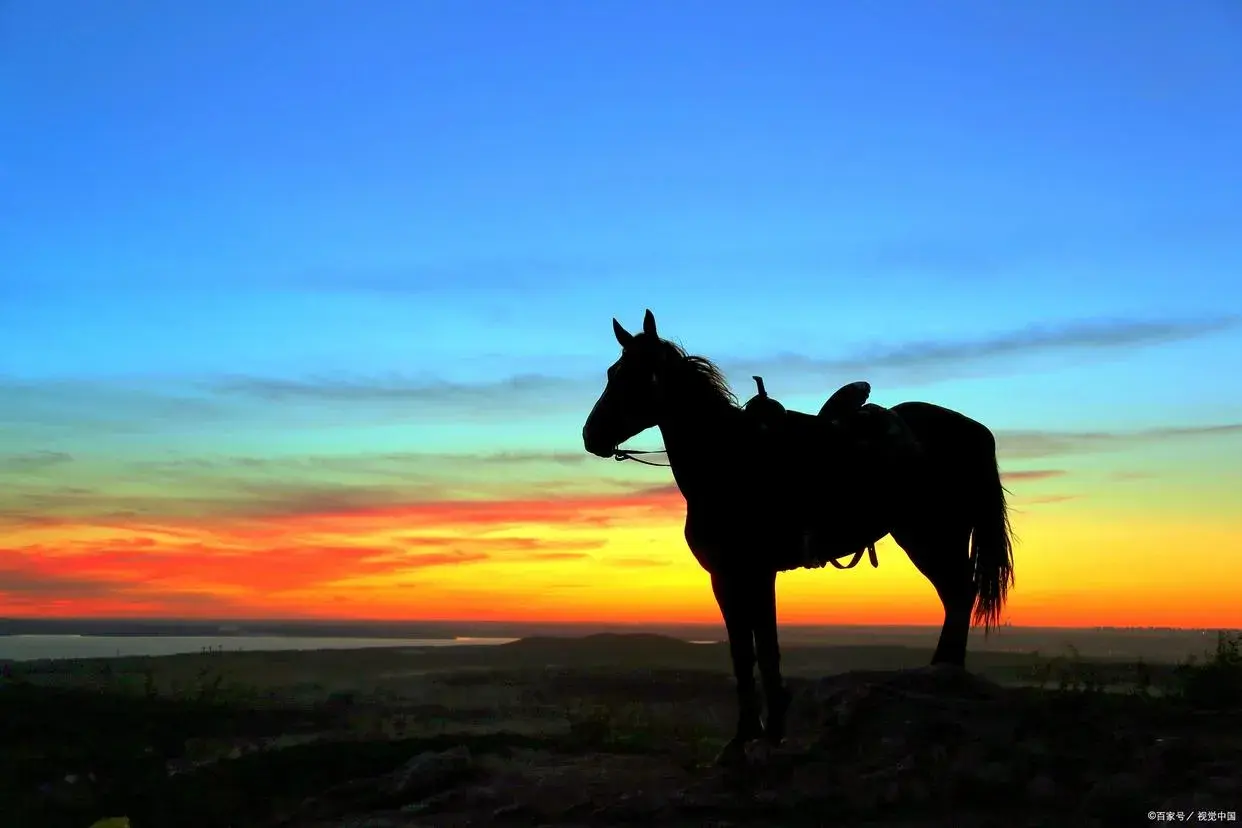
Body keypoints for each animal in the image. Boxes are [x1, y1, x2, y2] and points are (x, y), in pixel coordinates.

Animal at [576, 309, 1013, 764]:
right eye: (612, 372)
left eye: (633, 376)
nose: (591, 435)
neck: (727, 461)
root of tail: (974, 431)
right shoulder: (734, 575)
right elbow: (751, 650)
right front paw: (755, 734)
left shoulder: (749, 572)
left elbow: (758, 650)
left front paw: (758, 736)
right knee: (956, 598)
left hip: (933, 537)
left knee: (959, 595)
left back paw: (946, 678)